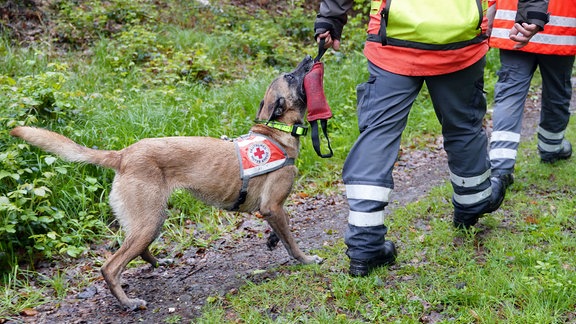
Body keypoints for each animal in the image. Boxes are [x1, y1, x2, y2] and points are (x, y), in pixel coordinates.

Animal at [11, 56, 322, 312]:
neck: (276, 132)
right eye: (291, 76)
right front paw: (305, 260)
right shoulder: (272, 206)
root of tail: (123, 154)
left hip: (149, 217)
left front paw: (273, 239)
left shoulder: (272, 208)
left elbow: (283, 229)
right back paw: (128, 302)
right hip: (150, 219)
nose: (310, 57)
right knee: (110, 267)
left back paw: (156, 263)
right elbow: (292, 241)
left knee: (134, 248)